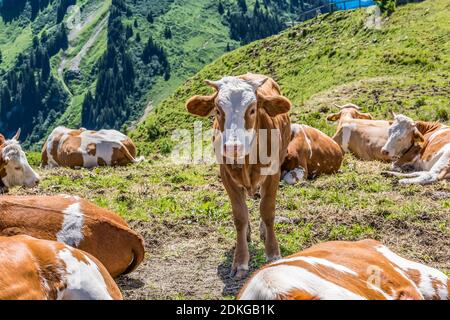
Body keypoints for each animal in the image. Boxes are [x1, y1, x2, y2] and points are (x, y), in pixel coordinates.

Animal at [186, 74, 292, 278]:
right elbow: (240, 216)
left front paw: (272, 253)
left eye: (252, 109)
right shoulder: (226, 176)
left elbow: (267, 210)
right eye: (218, 110)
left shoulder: (273, 172)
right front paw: (241, 260)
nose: (233, 147)